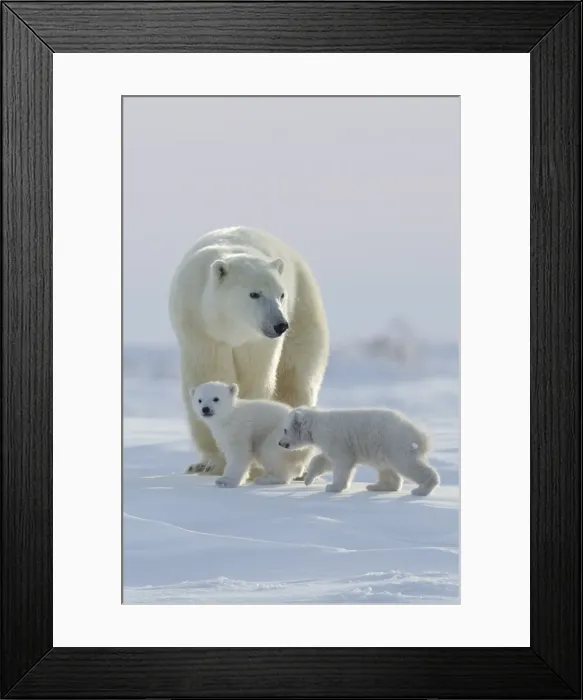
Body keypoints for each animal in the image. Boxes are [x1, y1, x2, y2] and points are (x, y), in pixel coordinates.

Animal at [169, 226, 329, 476]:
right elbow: (209, 372)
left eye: (281, 294)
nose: (280, 325)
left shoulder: (257, 342)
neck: (231, 327)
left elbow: (257, 380)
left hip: (304, 307)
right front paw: (213, 461)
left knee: (296, 379)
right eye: (255, 294)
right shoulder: (200, 327)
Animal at [278, 406, 440, 496]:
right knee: (386, 468)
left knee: (407, 464)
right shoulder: (329, 443)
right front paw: (308, 480)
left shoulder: (335, 438)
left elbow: (342, 462)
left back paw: (421, 489)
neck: (317, 424)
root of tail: (420, 435)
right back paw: (377, 486)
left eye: (285, 430)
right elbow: (324, 459)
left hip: (395, 443)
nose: (280, 443)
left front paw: (333, 487)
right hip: (383, 448)